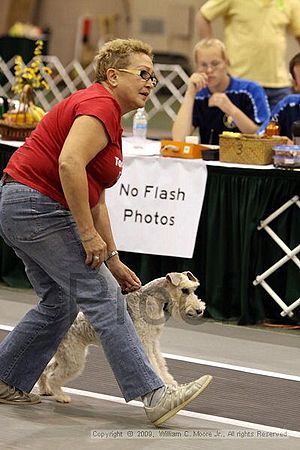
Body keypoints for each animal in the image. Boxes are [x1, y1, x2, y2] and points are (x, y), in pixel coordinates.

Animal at [37, 268, 205, 402]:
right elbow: (154, 366)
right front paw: (166, 386)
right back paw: (61, 396)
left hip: (66, 356)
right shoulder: (144, 342)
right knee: (54, 376)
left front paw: (170, 383)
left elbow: (160, 364)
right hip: (74, 360)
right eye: (184, 290)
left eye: (194, 288)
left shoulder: (153, 342)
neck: (149, 300)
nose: (199, 310)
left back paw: (45, 390)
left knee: (46, 369)